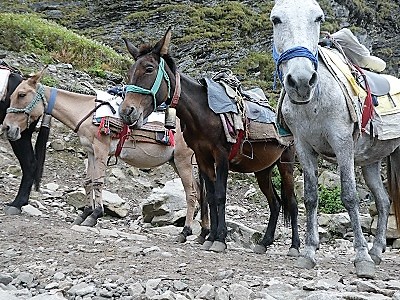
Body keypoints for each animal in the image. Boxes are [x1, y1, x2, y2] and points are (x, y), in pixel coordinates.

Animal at [2, 69, 209, 243]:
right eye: (10, 95)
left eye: (21, 95)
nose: (7, 128)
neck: (87, 112)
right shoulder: (90, 151)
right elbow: (88, 182)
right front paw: (84, 213)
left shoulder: (101, 149)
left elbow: (98, 182)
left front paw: (95, 215)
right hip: (177, 162)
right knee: (200, 192)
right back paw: (204, 233)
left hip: (183, 161)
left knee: (191, 194)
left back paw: (185, 232)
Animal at [117, 27, 298, 255]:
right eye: (130, 72)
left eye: (149, 69)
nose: (126, 112)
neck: (202, 112)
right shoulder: (202, 157)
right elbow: (210, 196)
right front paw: (210, 237)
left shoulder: (221, 156)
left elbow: (219, 195)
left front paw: (220, 239)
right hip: (263, 170)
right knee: (275, 203)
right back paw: (264, 243)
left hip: (286, 164)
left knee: (292, 202)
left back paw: (295, 247)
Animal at [270, 0, 398, 278]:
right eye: (276, 19)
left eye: (318, 17)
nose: (301, 81)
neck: (315, 102)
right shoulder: (303, 148)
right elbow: (310, 197)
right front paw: (308, 252)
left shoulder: (342, 145)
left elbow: (349, 196)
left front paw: (361, 257)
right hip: (371, 162)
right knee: (384, 201)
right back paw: (377, 250)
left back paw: (372, 252)